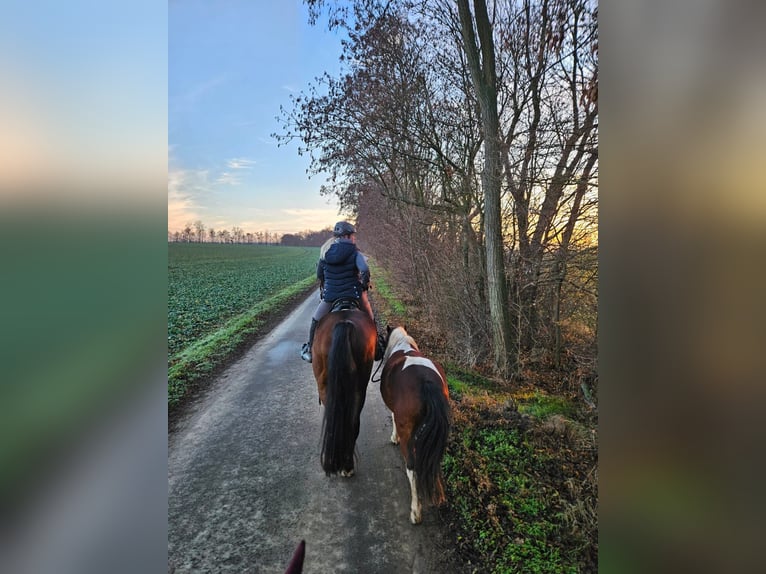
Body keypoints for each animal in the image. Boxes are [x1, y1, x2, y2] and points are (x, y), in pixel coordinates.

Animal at [379, 326, 451, 524]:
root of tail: (425, 381)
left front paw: (393, 437)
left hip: (408, 434)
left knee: (412, 467)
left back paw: (415, 511)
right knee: (433, 460)